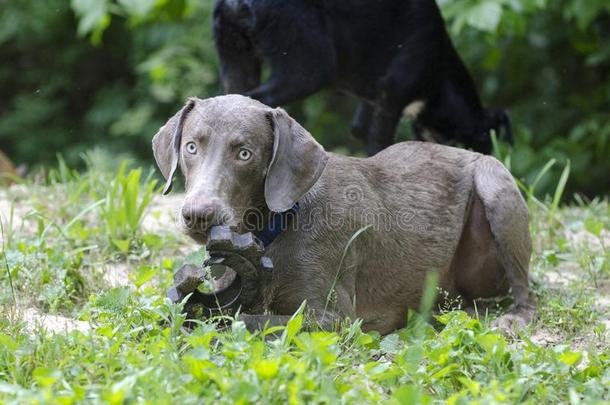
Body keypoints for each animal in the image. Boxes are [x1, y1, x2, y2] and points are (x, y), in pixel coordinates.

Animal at [152, 95, 532, 334]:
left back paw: (513, 319)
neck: (276, 228)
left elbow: (247, 321)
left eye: (244, 153)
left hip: (495, 184)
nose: (198, 215)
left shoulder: (335, 318)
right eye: (191, 147)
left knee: (525, 292)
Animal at [213, 0, 508, 155]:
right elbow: (380, 144)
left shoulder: (371, 102)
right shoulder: (394, 90)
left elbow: (361, 130)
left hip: (235, 56)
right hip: (310, 65)